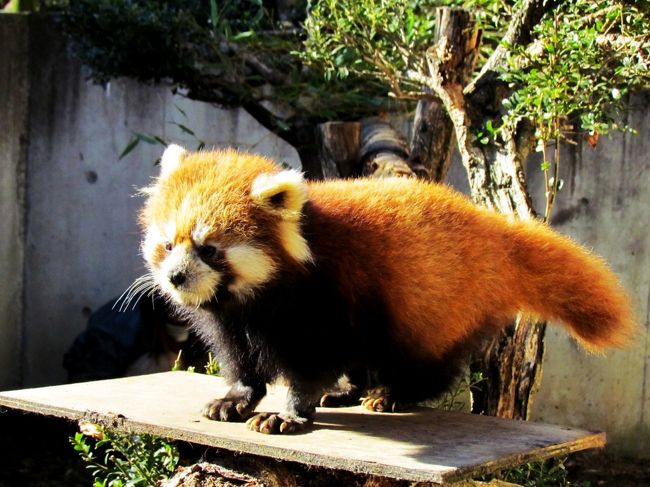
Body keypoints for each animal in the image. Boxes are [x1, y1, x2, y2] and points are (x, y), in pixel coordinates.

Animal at [138, 144, 632, 434]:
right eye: (168, 244)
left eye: (209, 249)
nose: (176, 278)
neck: (254, 300)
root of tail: (497, 232)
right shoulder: (230, 317)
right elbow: (239, 359)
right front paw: (236, 397)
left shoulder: (324, 295)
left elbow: (310, 362)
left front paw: (289, 412)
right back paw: (346, 390)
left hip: (438, 309)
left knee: (424, 362)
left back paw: (392, 394)